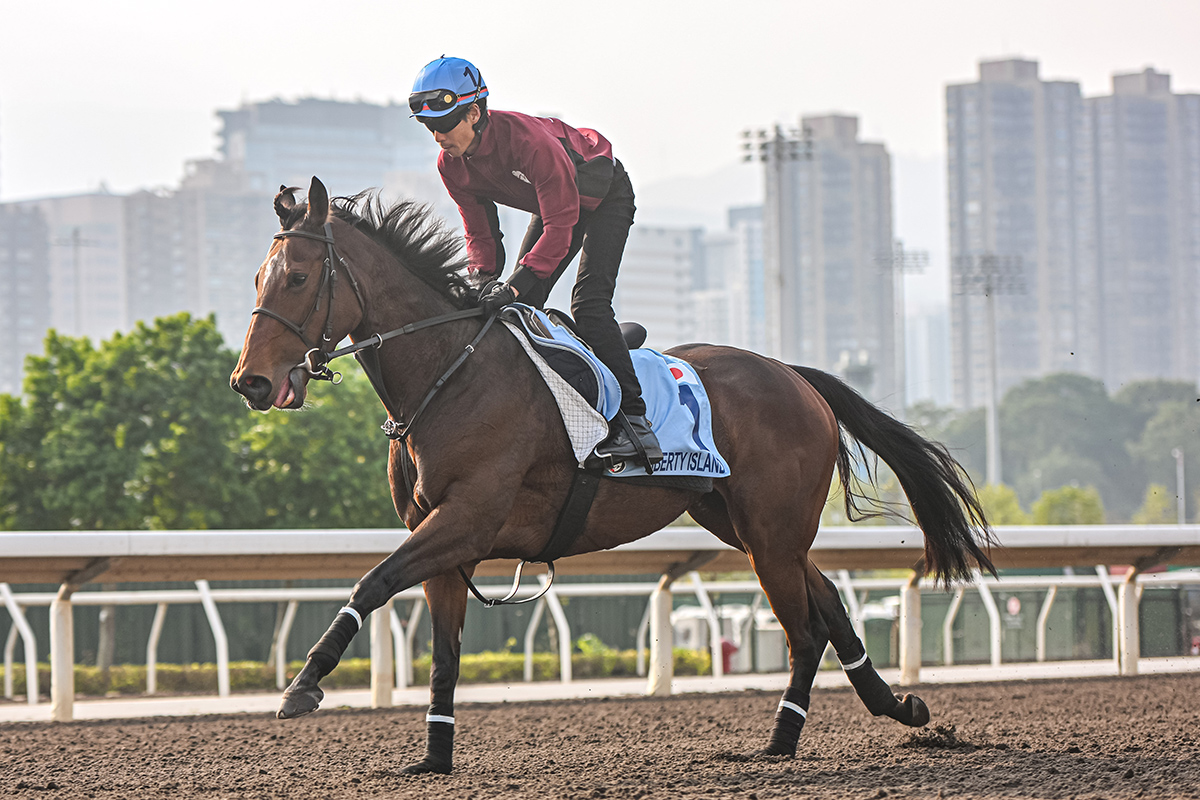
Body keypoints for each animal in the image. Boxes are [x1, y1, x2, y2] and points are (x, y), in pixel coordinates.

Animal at [229, 175, 988, 777]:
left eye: (298, 278)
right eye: (258, 279)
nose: (251, 382)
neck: (450, 371)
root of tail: (795, 376)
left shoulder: (465, 519)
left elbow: (371, 582)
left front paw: (303, 686)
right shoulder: (444, 537)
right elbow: (443, 654)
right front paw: (433, 759)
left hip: (770, 530)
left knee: (804, 632)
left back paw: (779, 744)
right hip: (743, 523)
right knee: (826, 601)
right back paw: (898, 706)